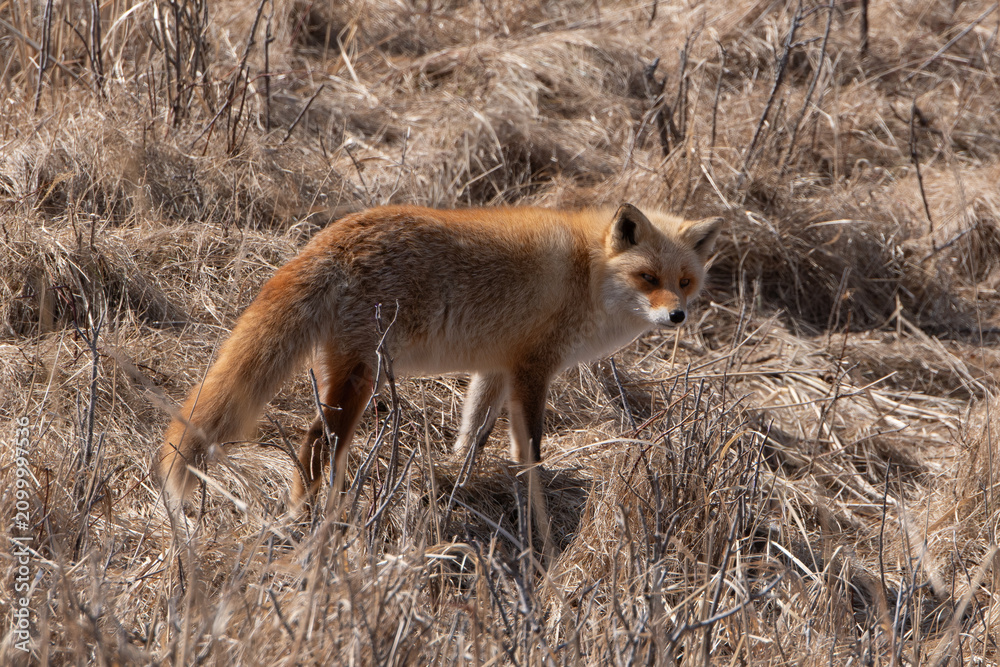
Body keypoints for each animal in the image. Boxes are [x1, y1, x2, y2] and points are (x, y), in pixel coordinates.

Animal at [159, 203, 722, 506]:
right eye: (647, 278)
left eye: (684, 281)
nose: (677, 316)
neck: (586, 275)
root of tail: (335, 234)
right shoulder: (532, 367)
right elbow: (530, 445)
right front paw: (533, 492)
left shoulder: (495, 366)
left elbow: (473, 433)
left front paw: (459, 478)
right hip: (363, 376)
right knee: (317, 441)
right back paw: (307, 513)